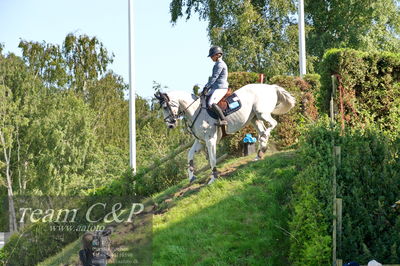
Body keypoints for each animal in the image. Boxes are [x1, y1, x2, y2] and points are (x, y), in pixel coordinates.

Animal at [155, 84, 296, 184]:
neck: (195, 111)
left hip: (261, 113)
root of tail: (271, 87)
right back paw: (260, 153)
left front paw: (213, 178)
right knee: (262, 131)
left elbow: (212, 159)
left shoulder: (210, 140)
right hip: (254, 118)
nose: (170, 125)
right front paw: (191, 177)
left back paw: (264, 141)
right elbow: (189, 155)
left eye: (165, 107)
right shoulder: (200, 141)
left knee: (272, 125)